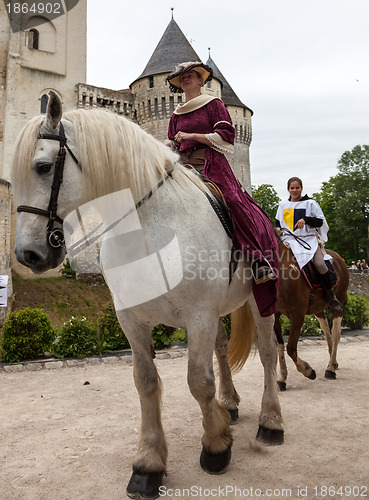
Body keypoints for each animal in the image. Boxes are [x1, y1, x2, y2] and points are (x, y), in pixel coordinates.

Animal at [11, 92, 282, 498]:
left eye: (43, 167)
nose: (27, 255)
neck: (152, 226)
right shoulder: (131, 318)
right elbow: (146, 383)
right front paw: (149, 464)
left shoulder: (198, 315)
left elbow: (198, 382)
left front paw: (215, 447)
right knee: (222, 349)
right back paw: (229, 405)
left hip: (260, 299)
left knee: (266, 353)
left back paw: (270, 421)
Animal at [274, 240, 350, 388]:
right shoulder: (274, 317)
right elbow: (280, 346)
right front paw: (282, 378)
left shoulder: (297, 315)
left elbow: (291, 348)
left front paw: (308, 371)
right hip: (318, 309)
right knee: (326, 330)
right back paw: (333, 362)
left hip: (340, 301)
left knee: (336, 332)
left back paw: (331, 369)